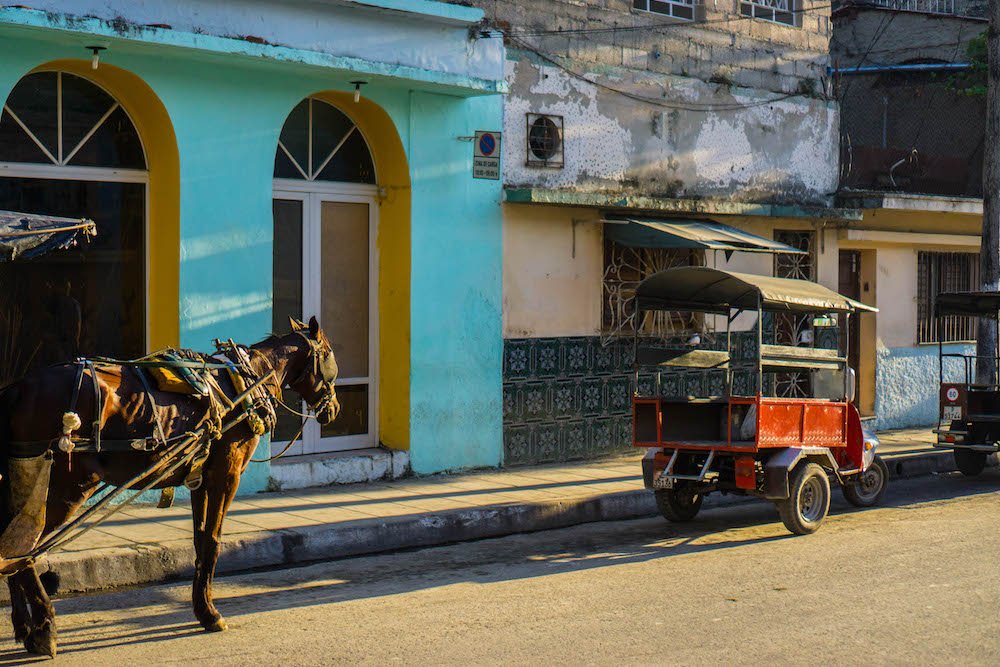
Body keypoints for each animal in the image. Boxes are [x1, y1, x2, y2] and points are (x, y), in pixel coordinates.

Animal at [0, 318, 340, 656]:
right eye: (328, 355)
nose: (334, 408)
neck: (247, 380)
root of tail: (19, 387)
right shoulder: (227, 474)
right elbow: (213, 541)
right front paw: (211, 614)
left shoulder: (200, 478)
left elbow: (200, 541)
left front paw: (202, 608)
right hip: (66, 486)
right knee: (24, 548)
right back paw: (45, 628)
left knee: (10, 543)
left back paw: (25, 629)